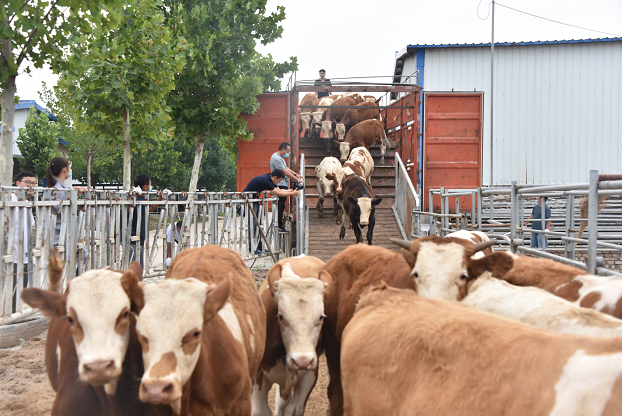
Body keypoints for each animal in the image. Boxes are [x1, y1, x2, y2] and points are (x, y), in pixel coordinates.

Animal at [252, 255, 334, 416]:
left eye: (320, 317)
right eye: (281, 317)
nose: (302, 361)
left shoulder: (310, 374)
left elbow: (294, 408)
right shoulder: (258, 373)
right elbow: (261, 410)